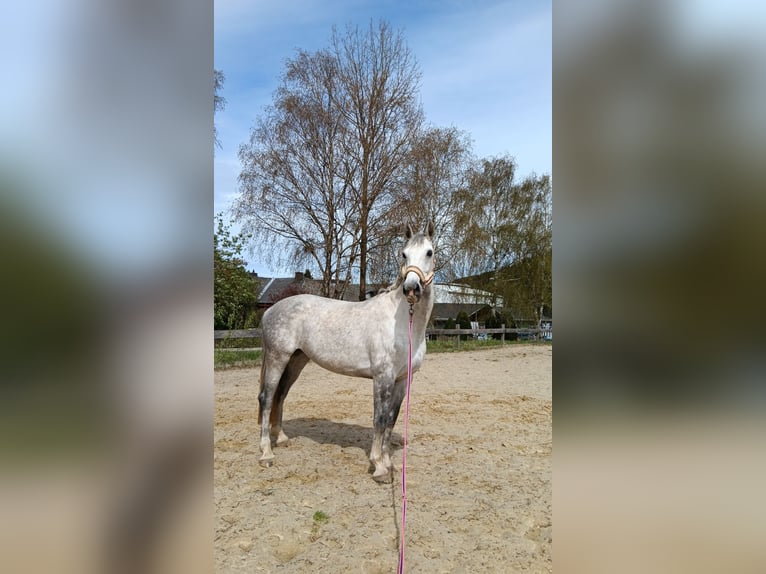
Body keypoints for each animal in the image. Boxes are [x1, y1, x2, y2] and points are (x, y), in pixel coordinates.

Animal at [260, 223, 436, 484]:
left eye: (429, 252)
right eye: (404, 254)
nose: (411, 288)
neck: (404, 323)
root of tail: (270, 310)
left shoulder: (403, 379)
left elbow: (391, 419)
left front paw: (388, 463)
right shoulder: (382, 377)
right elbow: (379, 419)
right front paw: (378, 466)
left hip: (295, 361)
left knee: (280, 395)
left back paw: (280, 438)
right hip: (277, 358)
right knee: (266, 398)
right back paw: (266, 453)